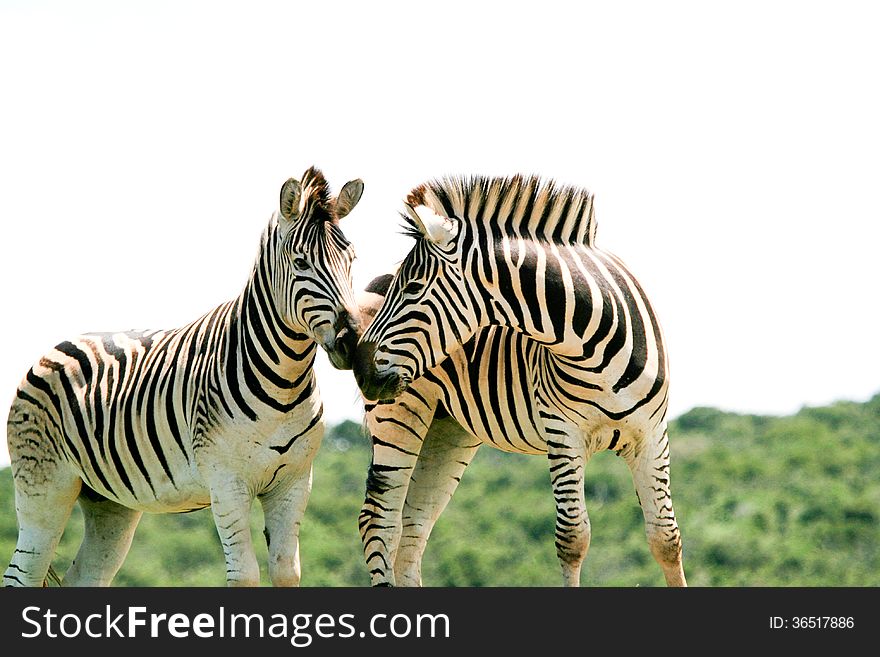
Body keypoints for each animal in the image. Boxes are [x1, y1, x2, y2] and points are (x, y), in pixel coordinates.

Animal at [1, 167, 362, 588]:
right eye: (301, 262)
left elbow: (287, 572)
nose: (352, 341)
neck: (284, 383)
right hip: (44, 489)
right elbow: (245, 574)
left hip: (108, 502)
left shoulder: (294, 483)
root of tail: (51, 350)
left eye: (352, 258)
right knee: (22, 574)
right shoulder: (226, 484)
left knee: (84, 575)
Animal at [356, 173, 688, 584]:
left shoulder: (652, 436)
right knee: (379, 521)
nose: (359, 368)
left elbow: (666, 538)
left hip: (448, 427)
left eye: (413, 288)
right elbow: (573, 538)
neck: (593, 347)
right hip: (399, 415)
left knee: (413, 527)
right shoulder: (563, 435)